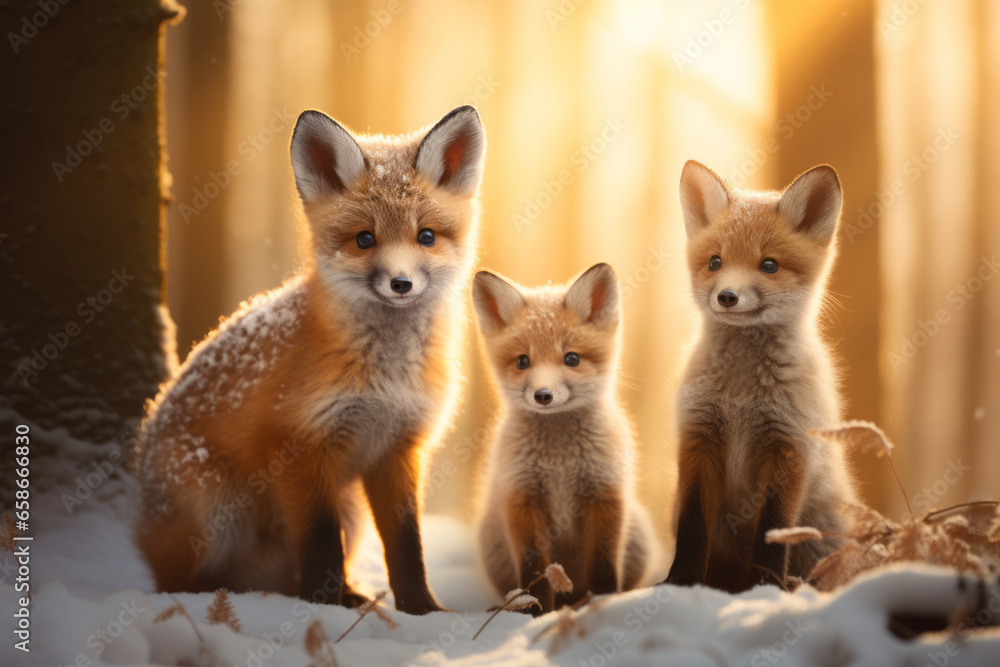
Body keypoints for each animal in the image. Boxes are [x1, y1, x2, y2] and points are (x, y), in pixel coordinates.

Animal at [134, 106, 486, 615]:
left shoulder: (398, 448)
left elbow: (406, 544)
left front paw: (422, 611)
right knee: (176, 581)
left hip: (350, 511)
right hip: (214, 506)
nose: (401, 283)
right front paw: (322, 609)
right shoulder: (298, 444)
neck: (386, 378)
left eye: (426, 237)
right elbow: (321, 543)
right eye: (364, 239)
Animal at [473, 264, 658, 613]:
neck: (560, 463)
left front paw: (601, 602)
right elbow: (535, 572)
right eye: (523, 361)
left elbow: (603, 563)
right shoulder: (522, 498)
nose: (543, 395)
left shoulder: (605, 494)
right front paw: (536, 612)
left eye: (572, 359)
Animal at [663, 160, 858, 594]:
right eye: (715, 262)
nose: (727, 297)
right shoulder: (699, 440)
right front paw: (678, 584)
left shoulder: (789, 448)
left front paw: (767, 588)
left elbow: (773, 532)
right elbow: (691, 527)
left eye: (769, 265)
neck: (741, 398)